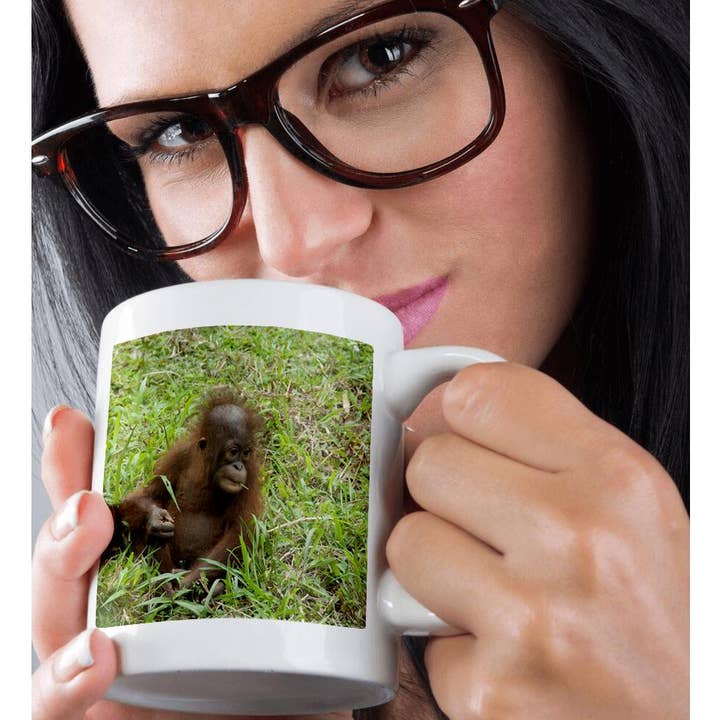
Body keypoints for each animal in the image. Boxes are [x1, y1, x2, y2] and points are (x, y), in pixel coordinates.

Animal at [104, 388, 264, 592]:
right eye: (234, 451)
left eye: (246, 452)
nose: (239, 466)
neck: (208, 472)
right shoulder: (179, 455)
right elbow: (148, 494)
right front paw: (156, 519)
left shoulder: (251, 475)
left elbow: (240, 531)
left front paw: (188, 583)